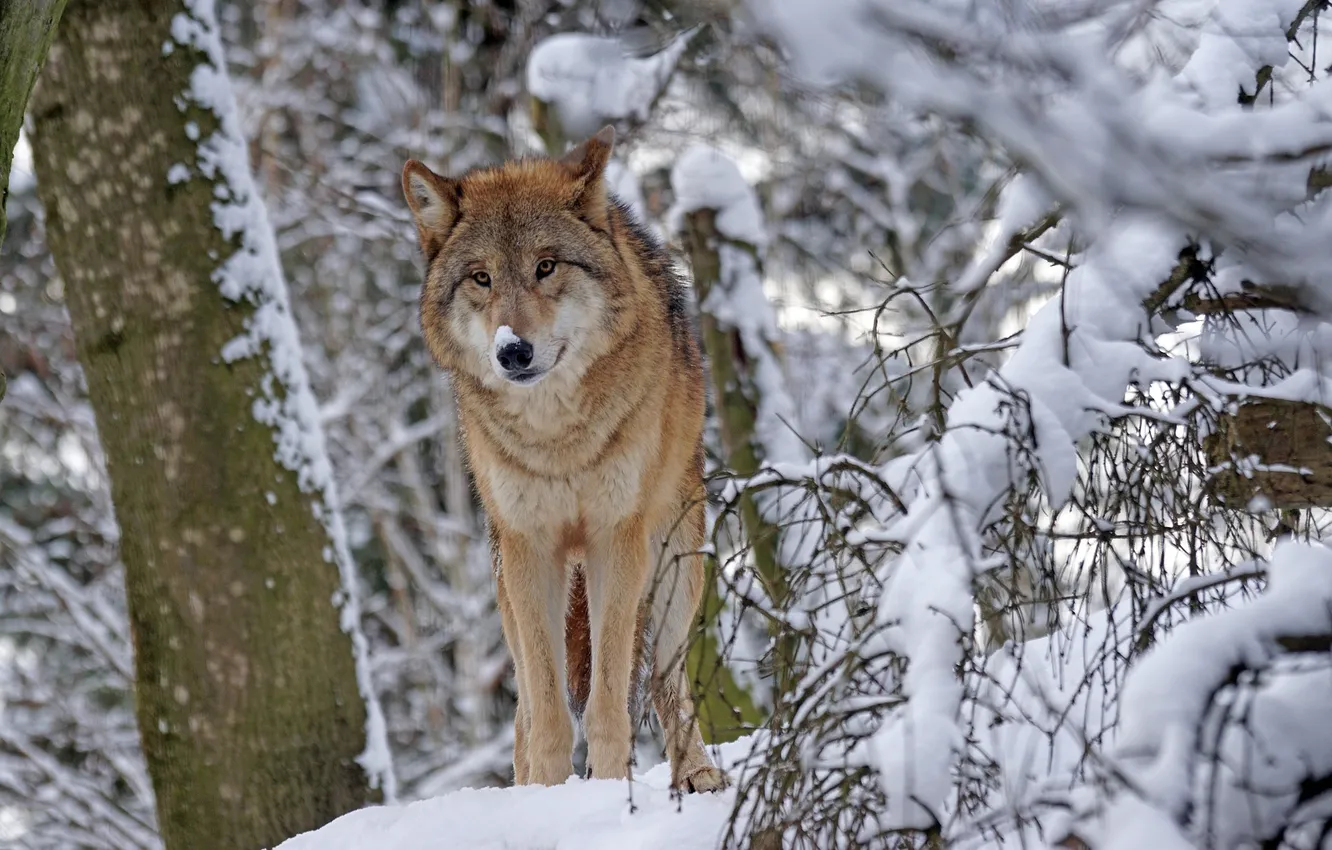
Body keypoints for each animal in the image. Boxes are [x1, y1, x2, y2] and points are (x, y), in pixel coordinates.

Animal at [401, 126, 727, 792]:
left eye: (545, 266)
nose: (513, 351)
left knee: (664, 680)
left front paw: (606, 787)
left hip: (677, 569)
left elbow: (607, 697)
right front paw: (547, 795)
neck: (557, 439)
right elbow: (549, 710)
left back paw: (696, 773)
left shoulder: (614, 538)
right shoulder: (531, 549)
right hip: (508, 589)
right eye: (481, 278)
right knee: (525, 708)